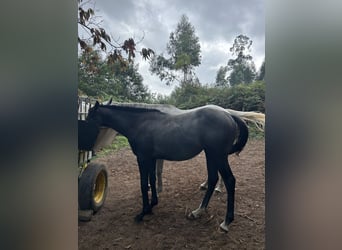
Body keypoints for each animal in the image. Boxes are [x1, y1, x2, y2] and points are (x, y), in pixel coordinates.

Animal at [87, 100, 248, 231]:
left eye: (90, 115)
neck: (140, 123)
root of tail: (228, 115)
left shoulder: (142, 158)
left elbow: (144, 184)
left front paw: (142, 212)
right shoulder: (152, 158)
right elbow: (152, 180)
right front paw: (152, 205)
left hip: (218, 156)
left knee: (229, 180)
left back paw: (226, 222)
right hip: (211, 155)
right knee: (213, 178)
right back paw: (198, 211)